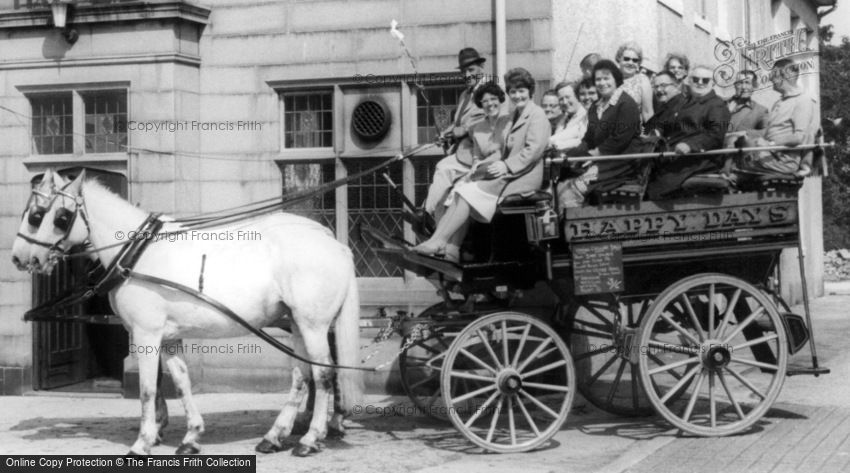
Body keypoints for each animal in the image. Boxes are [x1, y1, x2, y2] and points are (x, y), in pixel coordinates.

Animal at [10, 169, 362, 454]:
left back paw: (310, 438)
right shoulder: (167, 338)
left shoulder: (146, 335)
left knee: (323, 374)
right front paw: (191, 436)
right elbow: (181, 382)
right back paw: (275, 436)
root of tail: (333, 242)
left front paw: (143, 442)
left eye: (45, 215)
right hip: (299, 324)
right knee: (302, 375)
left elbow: (148, 389)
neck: (137, 253)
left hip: (313, 324)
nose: (19, 257)